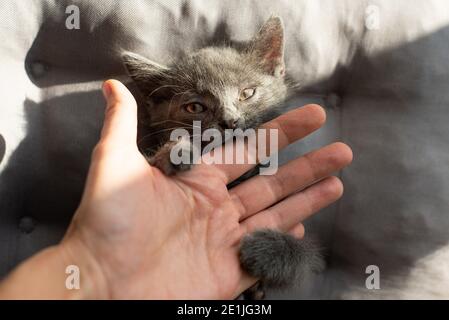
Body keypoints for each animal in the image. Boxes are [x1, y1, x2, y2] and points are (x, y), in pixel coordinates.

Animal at [121, 16, 320, 298]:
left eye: (247, 93)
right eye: (195, 106)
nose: (230, 120)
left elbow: (304, 255)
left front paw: (264, 251)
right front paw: (176, 151)